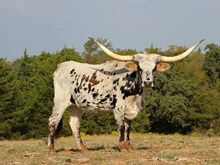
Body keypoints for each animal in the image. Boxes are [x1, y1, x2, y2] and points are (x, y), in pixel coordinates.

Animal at [48, 37, 205, 152]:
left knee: (74, 124)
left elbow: (128, 127)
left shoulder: (131, 109)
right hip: (60, 101)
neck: (135, 93)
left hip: (76, 105)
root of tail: (61, 66)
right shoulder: (118, 108)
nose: (148, 82)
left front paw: (129, 147)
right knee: (53, 121)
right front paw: (122, 147)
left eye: (154, 68)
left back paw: (83, 148)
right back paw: (51, 149)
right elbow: (121, 127)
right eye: (140, 68)